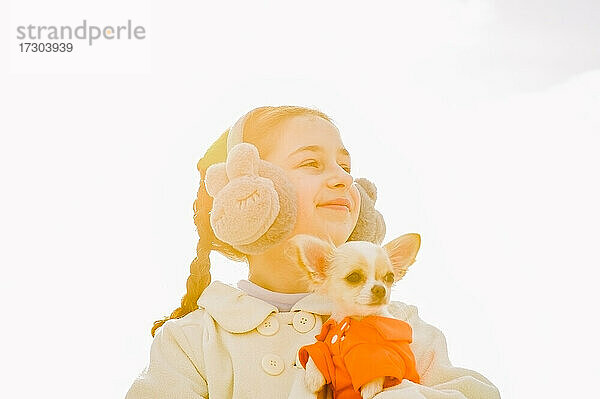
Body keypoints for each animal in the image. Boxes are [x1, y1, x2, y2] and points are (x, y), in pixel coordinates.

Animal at [288, 234, 422, 399]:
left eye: (390, 277)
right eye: (354, 277)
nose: (381, 289)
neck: (357, 319)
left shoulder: (393, 355)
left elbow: (378, 363)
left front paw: (371, 387)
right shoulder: (326, 342)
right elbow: (319, 349)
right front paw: (313, 376)